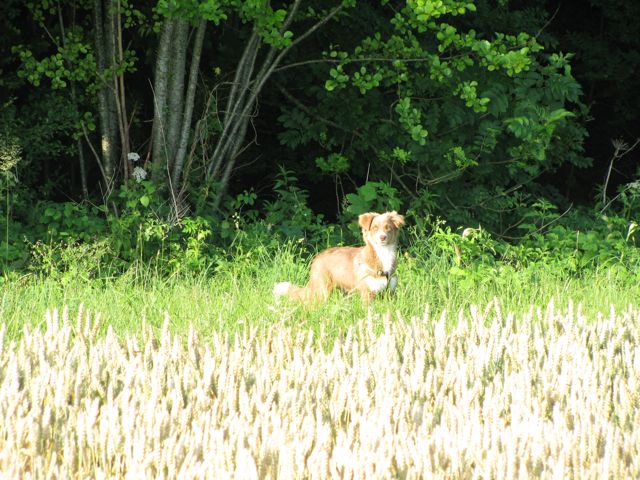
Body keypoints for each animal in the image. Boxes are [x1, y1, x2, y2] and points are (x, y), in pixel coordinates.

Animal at [272, 211, 402, 304]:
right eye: (374, 228)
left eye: (388, 228)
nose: (382, 237)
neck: (383, 254)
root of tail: (316, 258)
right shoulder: (367, 293)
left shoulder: (391, 292)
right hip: (322, 291)